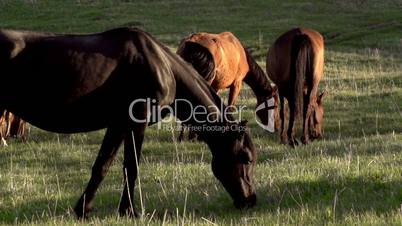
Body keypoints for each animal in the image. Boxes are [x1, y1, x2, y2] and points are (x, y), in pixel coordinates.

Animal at [0, 27, 258, 218]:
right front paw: (129, 210)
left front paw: (83, 209)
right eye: (246, 158)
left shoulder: (118, 124)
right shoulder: (137, 122)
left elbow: (103, 165)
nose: (251, 200)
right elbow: (131, 166)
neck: (162, 66)